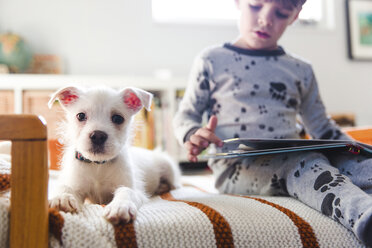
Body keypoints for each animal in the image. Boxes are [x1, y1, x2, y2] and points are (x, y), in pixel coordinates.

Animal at [48, 85, 182, 225]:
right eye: (81, 116)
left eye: (118, 118)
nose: (98, 136)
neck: (98, 165)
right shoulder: (77, 185)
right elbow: (66, 187)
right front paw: (61, 198)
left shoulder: (134, 189)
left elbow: (126, 191)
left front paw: (121, 206)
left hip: (169, 168)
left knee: (174, 184)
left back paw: (163, 187)